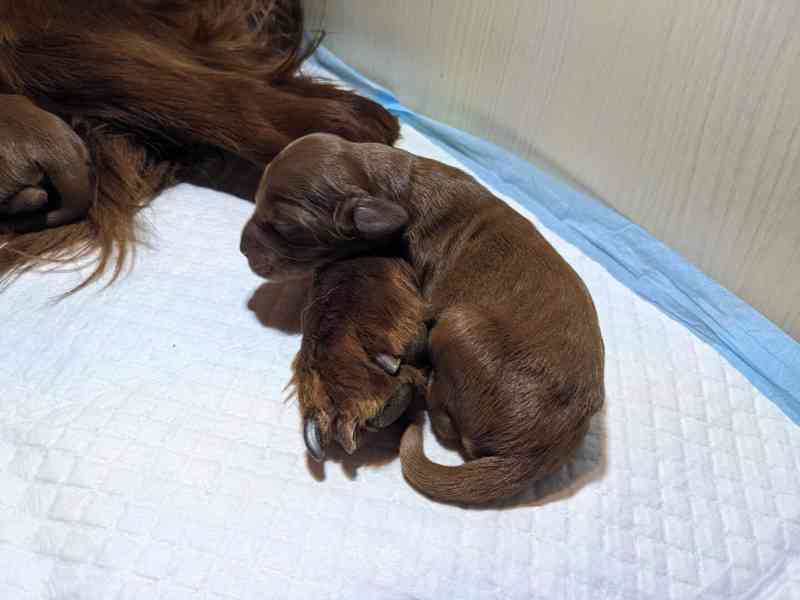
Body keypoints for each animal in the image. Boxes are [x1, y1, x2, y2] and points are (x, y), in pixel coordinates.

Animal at [240, 133, 605, 505]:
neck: (394, 183)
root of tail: (530, 455)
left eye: (286, 228)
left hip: (456, 325)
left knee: (447, 425)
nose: (241, 248)